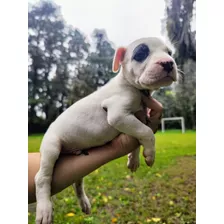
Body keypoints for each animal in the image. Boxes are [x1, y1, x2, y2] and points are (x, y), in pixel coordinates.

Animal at [34, 37, 177, 223]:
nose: (168, 62)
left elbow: (137, 136)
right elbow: (146, 132)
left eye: (169, 52)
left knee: (77, 181)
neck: (132, 87)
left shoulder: (134, 118)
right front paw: (150, 154)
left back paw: (84, 202)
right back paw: (44, 209)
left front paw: (133, 159)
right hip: (51, 147)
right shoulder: (118, 115)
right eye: (140, 54)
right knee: (42, 177)